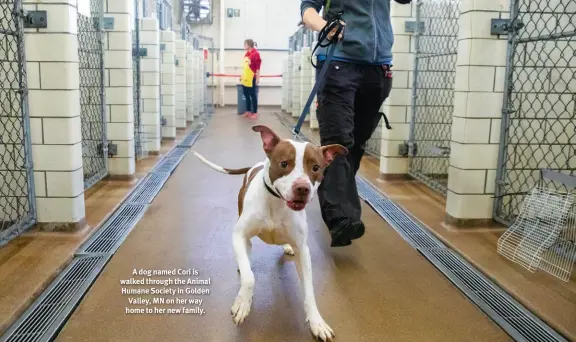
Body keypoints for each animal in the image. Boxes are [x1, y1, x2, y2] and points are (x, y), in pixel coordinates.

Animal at [194, 125, 346, 340]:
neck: (276, 203)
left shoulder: (303, 250)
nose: (302, 188)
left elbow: (309, 291)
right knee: (246, 258)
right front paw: (242, 303)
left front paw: (317, 322)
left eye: (316, 168)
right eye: (284, 163)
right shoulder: (240, 235)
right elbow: (249, 278)